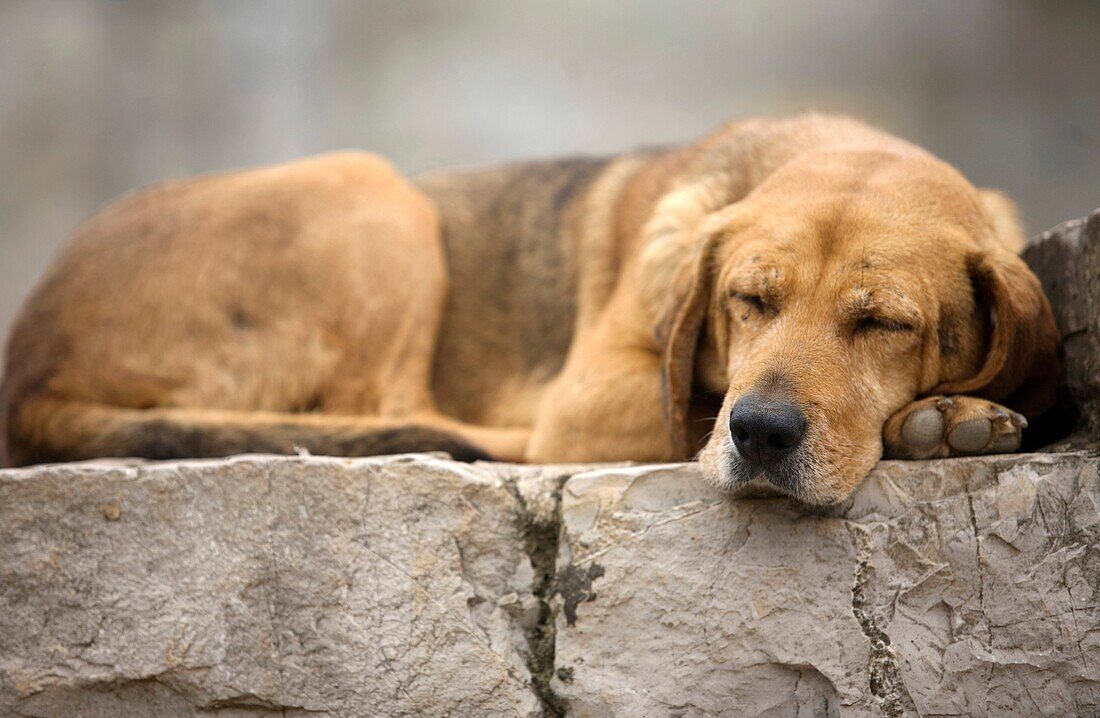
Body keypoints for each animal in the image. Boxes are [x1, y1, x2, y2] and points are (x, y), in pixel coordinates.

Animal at [4, 113, 1060, 503]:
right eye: (748, 301)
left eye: (885, 324)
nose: (759, 434)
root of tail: (26, 365)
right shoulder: (592, 396)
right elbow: (686, 407)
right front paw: (943, 419)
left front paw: (948, 416)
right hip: (376, 193)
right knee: (391, 408)